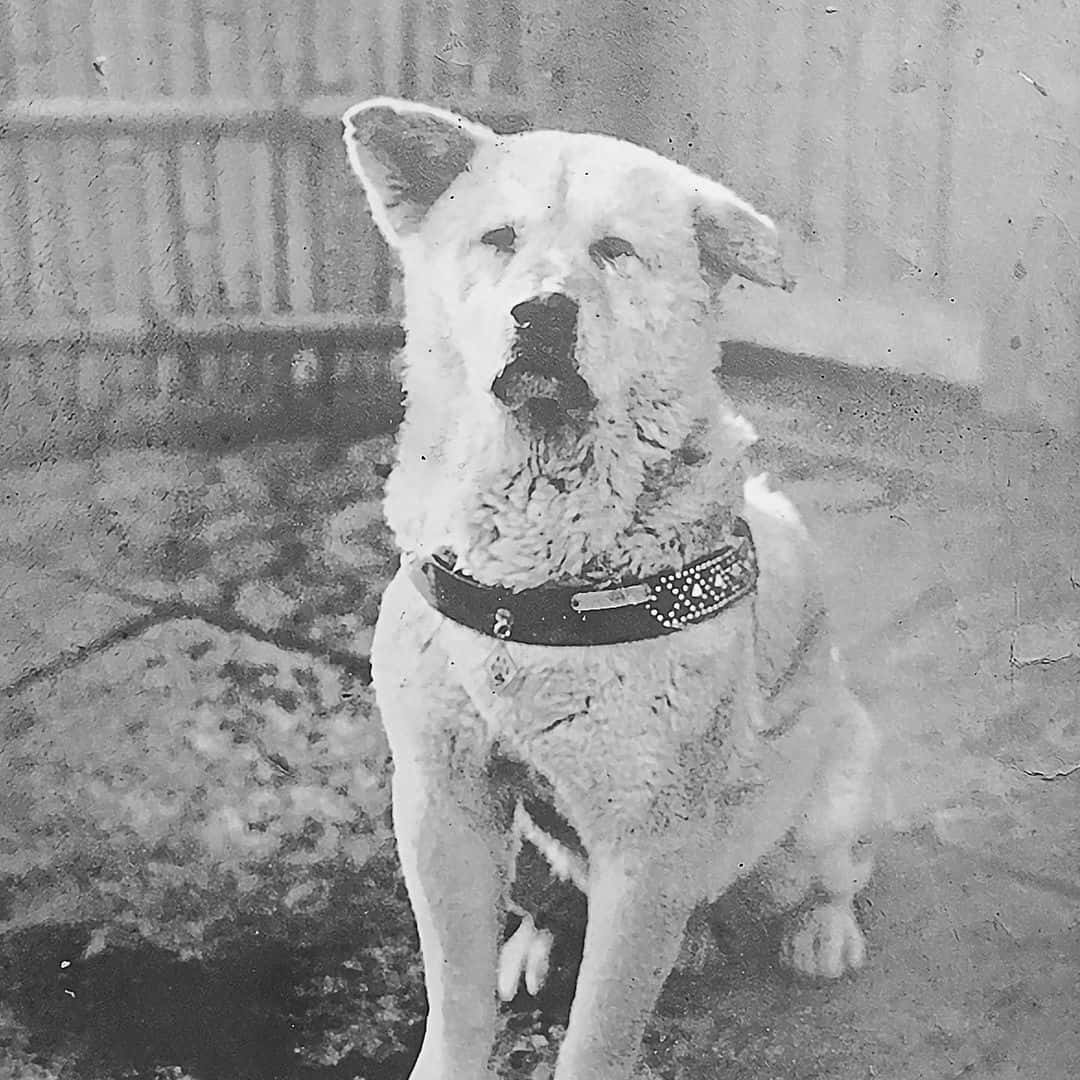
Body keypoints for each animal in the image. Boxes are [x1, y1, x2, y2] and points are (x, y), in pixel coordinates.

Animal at [341, 97, 881, 1075]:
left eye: (616, 250)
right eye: (498, 238)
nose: (541, 313)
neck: (537, 571)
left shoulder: (648, 851)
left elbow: (599, 1033)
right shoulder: (442, 803)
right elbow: (456, 999)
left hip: (825, 800)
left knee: (822, 877)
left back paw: (819, 933)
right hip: (525, 844)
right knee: (556, 903)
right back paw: (544, 946)